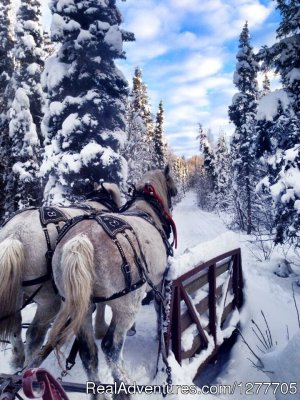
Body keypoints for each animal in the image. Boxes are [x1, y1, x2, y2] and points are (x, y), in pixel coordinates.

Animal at [0, 183, 120, 368]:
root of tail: (16, 233)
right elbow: (101, 305)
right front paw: (100, 328)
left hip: (16, 292)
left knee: (15, 326)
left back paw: (18, 358)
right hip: (49, 299)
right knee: (34, 334)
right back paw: (30, 364)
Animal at [44, 167, 176, 398]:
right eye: (171, 187)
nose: (176, 192)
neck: (147, 210)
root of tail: (81, 240)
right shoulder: (159, 282)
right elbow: (160, 311)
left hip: (82, 308)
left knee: (88, 353)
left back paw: (98, 393)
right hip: (126, 306)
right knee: (110, 348)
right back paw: (123, 388)